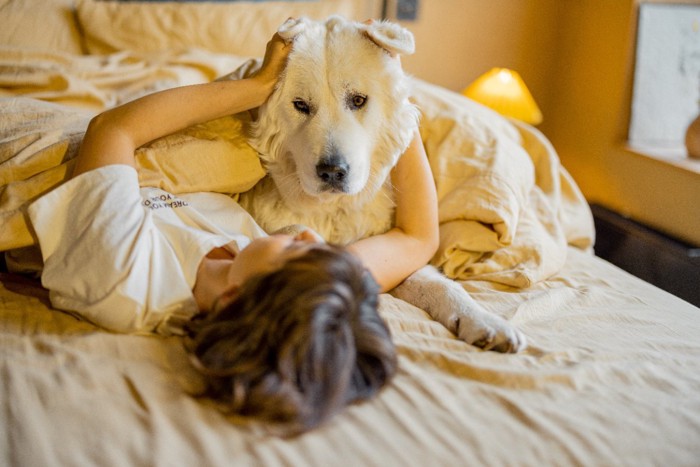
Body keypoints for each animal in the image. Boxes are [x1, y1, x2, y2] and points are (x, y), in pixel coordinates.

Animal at [239, 17, 524, 354]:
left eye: (358, 100)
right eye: (301, 105)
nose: (332, 172)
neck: (334, 212)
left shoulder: (401, 253)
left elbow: (441, 286)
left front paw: (482, 321)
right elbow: (292, 231)